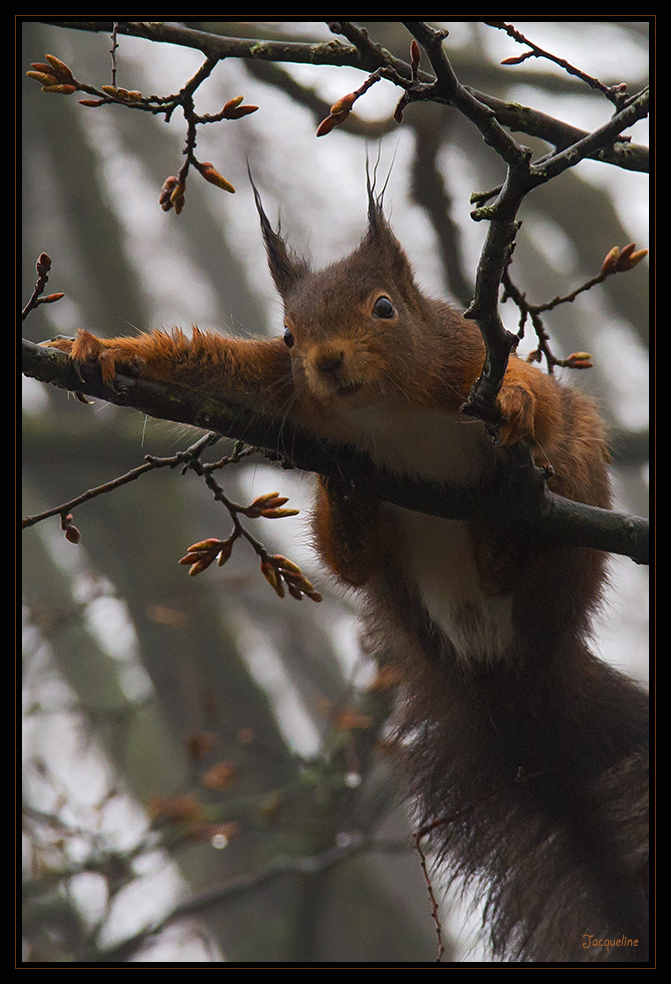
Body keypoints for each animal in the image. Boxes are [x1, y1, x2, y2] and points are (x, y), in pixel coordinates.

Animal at [43, 177, 652, 960]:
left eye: (383, 308)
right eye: (288, 335)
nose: (326, 362)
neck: (386, 408)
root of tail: (511, 671)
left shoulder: (465, 356)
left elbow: (531, 392)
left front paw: (517, 398)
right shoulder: (285, 390)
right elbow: (207, 364)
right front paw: (107, 353)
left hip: (571, 510)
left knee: (539, 513)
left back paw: (506, 532)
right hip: (390, 568)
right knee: (354, 564)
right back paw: (351, 508)